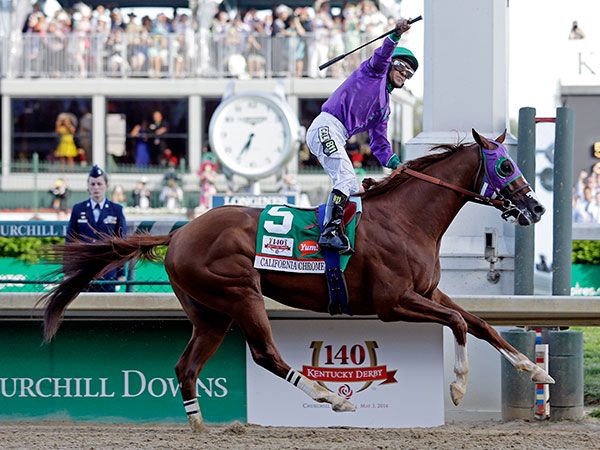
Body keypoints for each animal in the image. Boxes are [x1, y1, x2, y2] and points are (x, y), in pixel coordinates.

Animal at [41, 128, 552, 430]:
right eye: (506, 165)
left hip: (209, 313)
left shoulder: (427, 290)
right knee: (265, 354)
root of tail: (182, 229)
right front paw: (459, 387)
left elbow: (479, 323)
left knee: (186, 367)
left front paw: (534, 369)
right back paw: (331, 398)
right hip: (239, 293)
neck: (407, 218)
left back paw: (200, 426)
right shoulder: (393, 302)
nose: (536, 207)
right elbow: (460, 324)